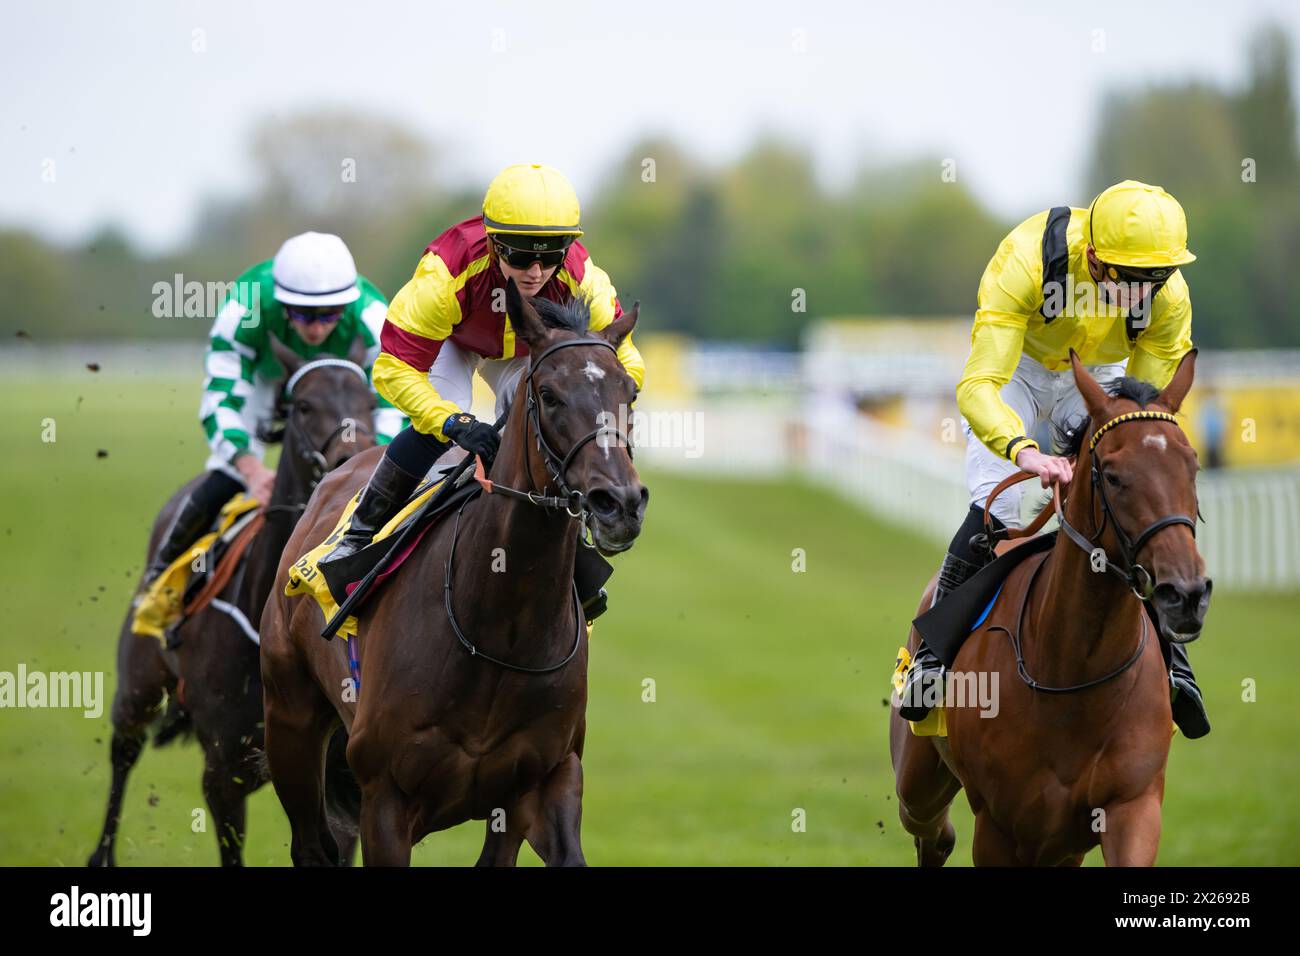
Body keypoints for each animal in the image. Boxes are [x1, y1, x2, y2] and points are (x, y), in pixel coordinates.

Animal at [89, 340, 377, 868]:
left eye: (368, 401)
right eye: (304, 405)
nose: (353, 457)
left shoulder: (342, 775)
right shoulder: (223, 770)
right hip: (139, 684)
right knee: (124, 751)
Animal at [261, 282, 647, 868]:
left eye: (630, 393)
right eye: (550, 394)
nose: (619, 503)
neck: (499, 632)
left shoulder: (545, 782)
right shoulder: (385, 797)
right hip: (290, 720)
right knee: (312, 843)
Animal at [894, 348, 1206, 868]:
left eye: (1193, 467)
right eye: (1113, 476)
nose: (1186, 594)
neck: (1072, 673)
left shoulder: (1131, 806)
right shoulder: (998, 825)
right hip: (917, 777)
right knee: (933, 831)